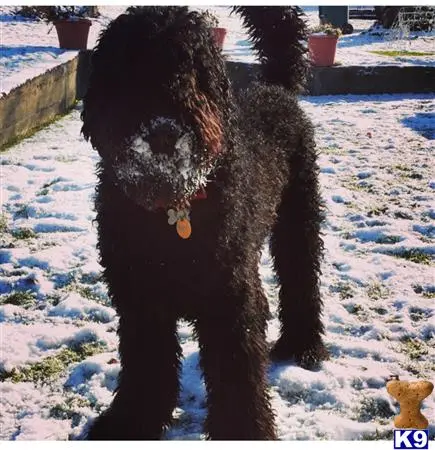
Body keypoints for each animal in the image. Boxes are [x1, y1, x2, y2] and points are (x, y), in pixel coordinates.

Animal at [81, 6, 328, 440]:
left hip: (297, 223)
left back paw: (303, 344)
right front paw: (130, 421)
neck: (171, 213)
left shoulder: (227, 299)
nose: (165, 130)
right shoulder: (139, 299)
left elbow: (236, 374)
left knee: (301, 279)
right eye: (131, 65)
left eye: (193, 66)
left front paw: (246, 431)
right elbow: (145, 366)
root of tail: (274, 89)